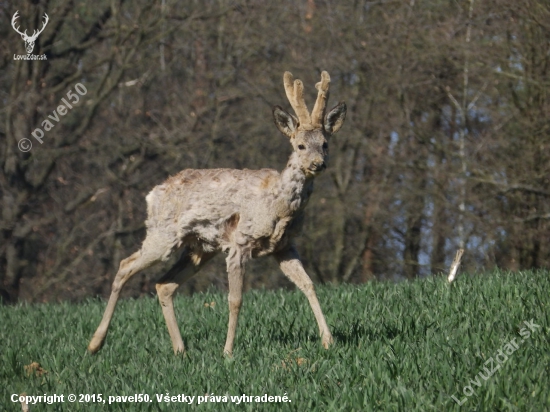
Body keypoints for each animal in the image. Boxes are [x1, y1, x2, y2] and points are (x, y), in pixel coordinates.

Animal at [88, 71, 348, 354]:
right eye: (300, 146)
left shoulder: (285, 246)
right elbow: (235, 299)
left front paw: (328, 340)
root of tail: (153, 193)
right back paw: (95, 344)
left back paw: (180, 350)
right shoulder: (240, 242)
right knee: (125, 266)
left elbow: (308, 285)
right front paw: (228, 352)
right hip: (163, 236)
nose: (318, 164)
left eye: (325, 144)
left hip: (200, 248)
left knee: (164, 285)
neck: (278, 206)